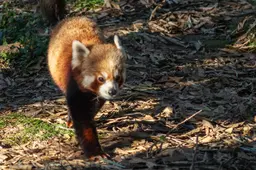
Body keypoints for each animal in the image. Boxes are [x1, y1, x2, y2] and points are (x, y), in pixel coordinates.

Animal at [47, 16, 126, 159]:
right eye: (101, 78)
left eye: (117, 77)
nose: (112, 91)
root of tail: (74, 17)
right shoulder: (73, 85)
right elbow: (82, 120)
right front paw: (95, 152)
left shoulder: (99, 95)